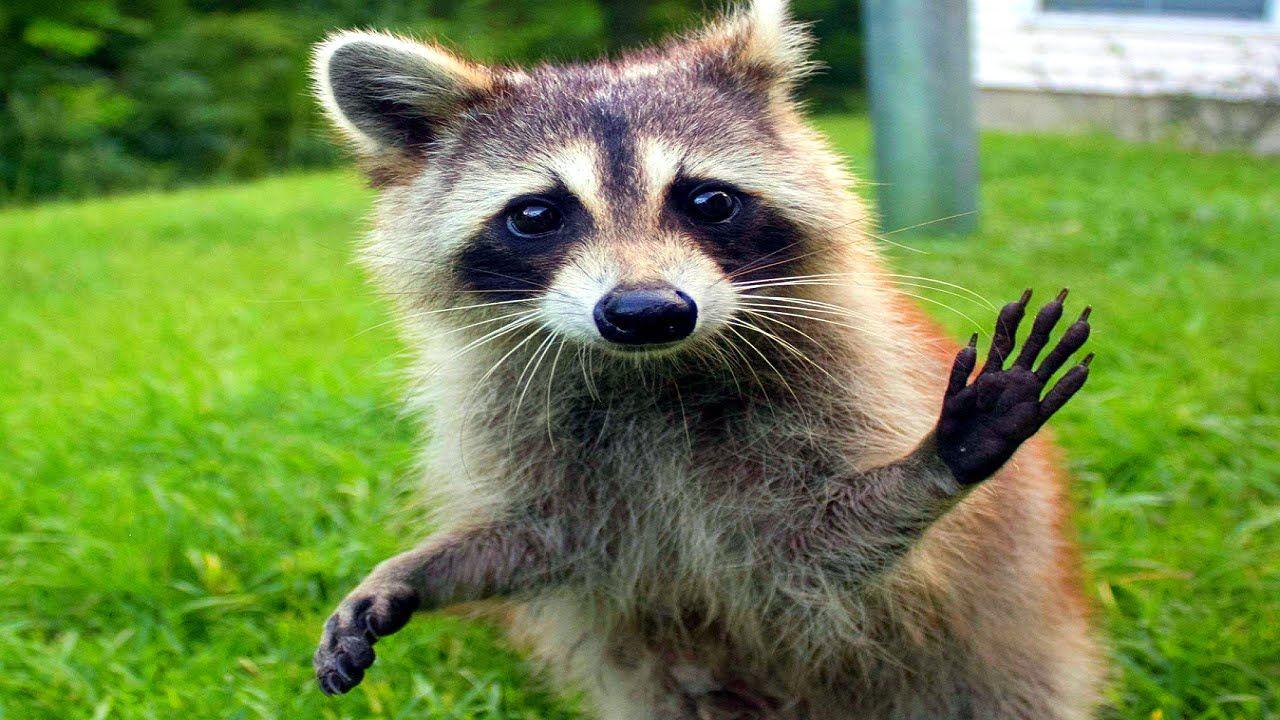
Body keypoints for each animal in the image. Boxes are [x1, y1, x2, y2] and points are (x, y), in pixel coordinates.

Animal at [308, 2, 1105, 718]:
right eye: (536, 215)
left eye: (709, 201)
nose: (646, 311)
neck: (649, 374)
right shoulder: (529, 435)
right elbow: (540, 538)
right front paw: (419, 568)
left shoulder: (847, 397)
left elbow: (828, 546)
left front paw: (934, 463)